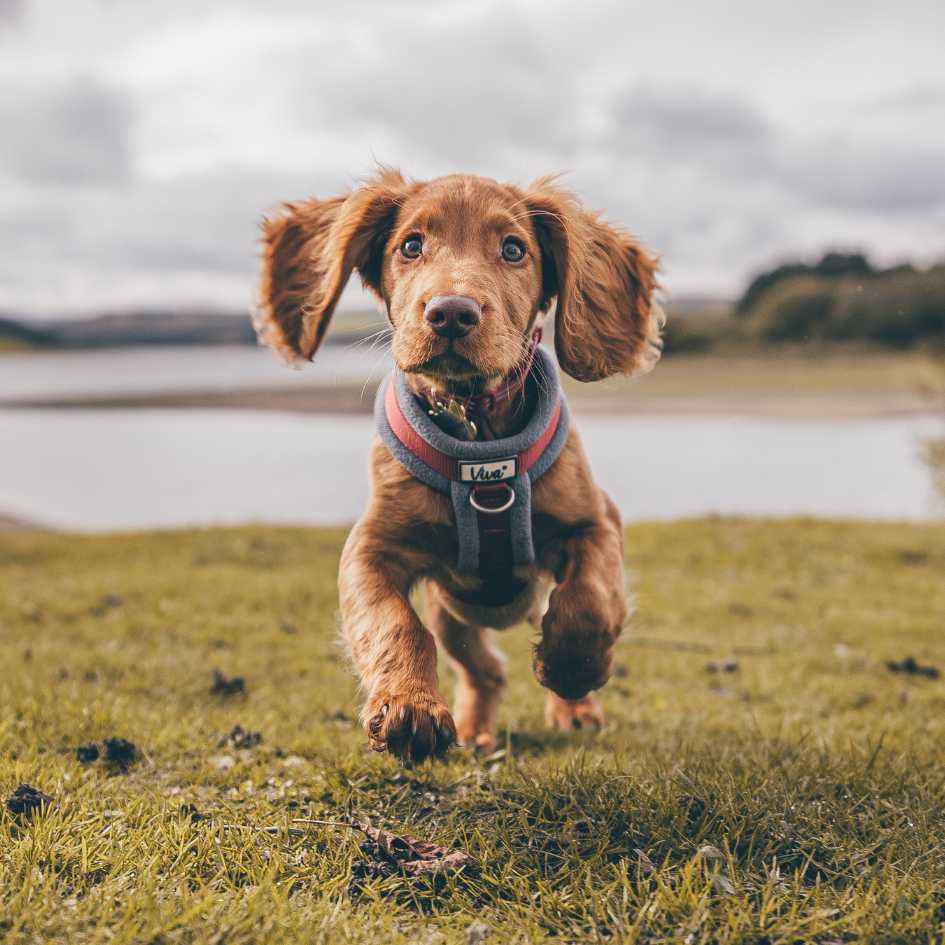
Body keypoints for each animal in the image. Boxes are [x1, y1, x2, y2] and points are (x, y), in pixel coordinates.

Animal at [254, 168, 660, 760]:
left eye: (513, 249)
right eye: (410, 246)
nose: (450, 313)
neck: (477, 433)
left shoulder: (597, 520)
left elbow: (590, 599)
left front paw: (572, 669)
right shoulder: (371, 549)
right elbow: (394, 623)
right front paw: (409, 707)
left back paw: (575, 710)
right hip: (453, 615)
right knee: (485, 669)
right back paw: (474, 730)